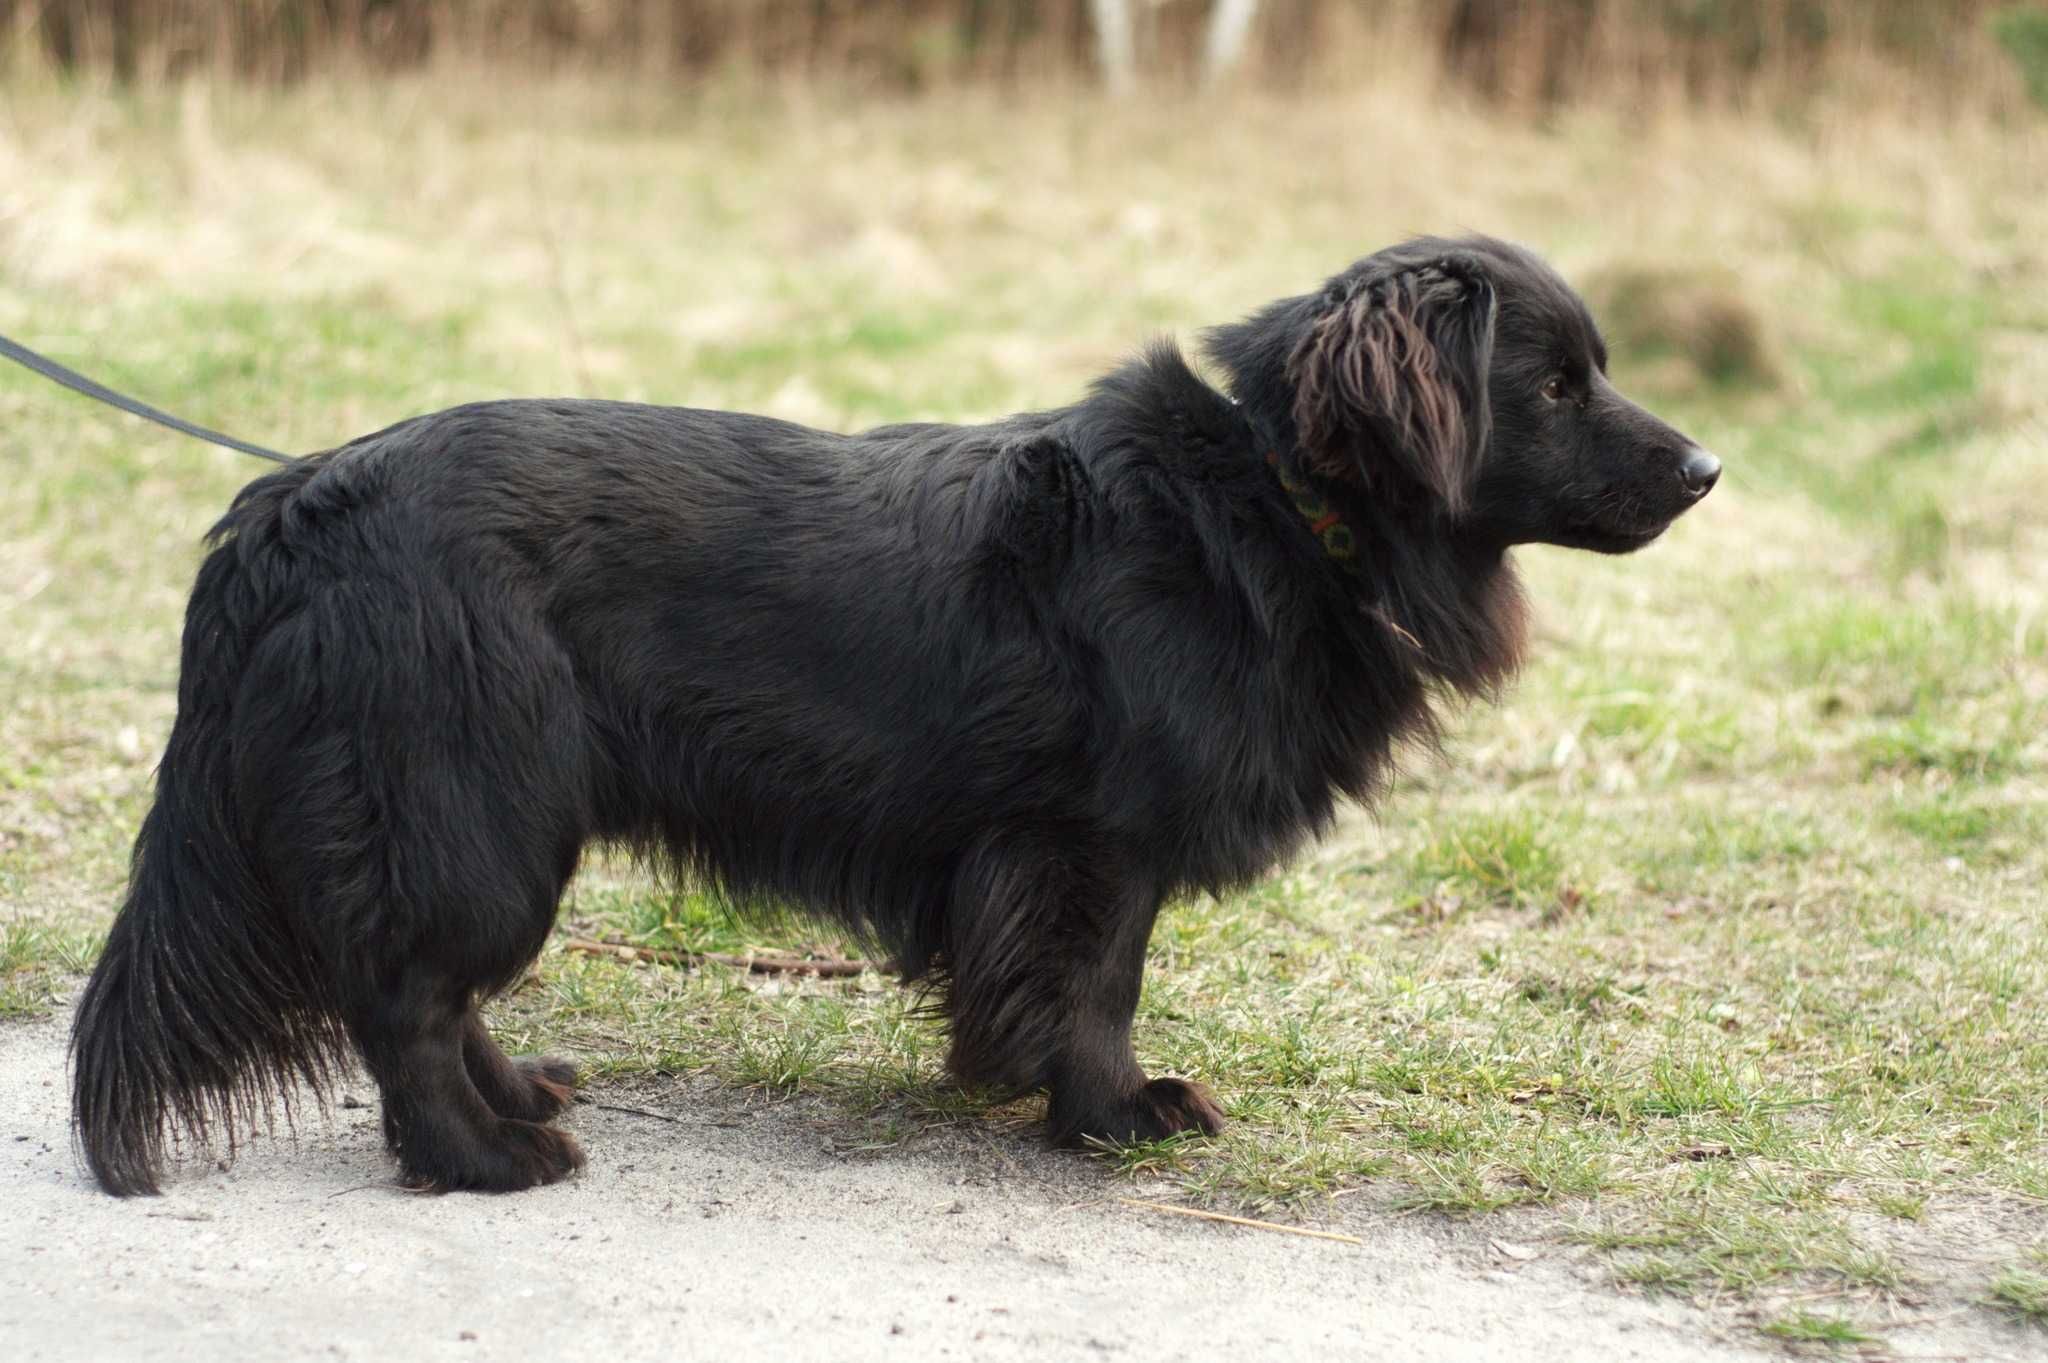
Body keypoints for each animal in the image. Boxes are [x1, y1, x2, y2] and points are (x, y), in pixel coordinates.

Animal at [72, 233, 1720, 1186]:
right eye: (1554, 385)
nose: (1709, 469)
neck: (1273, 496)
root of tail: (296, 500)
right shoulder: (1088, 840)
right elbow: (1095, 986)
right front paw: (1113, 1113)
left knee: (430, 989)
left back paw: (516, 1095)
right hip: (478, 799)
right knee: (406, 998)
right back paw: (488, 1153)